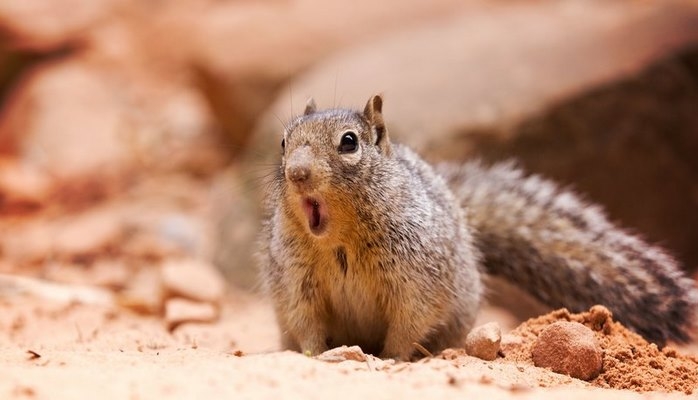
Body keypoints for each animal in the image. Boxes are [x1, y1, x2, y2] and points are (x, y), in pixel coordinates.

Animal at [256, 94, 696, 360]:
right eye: (283, 142)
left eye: (349, 143)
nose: (297, 174)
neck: (339, 240)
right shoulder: (296, 283)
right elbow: (306, 323)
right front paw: (313, 355)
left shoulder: (418, 282)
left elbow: (408, 325)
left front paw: (391, 359)